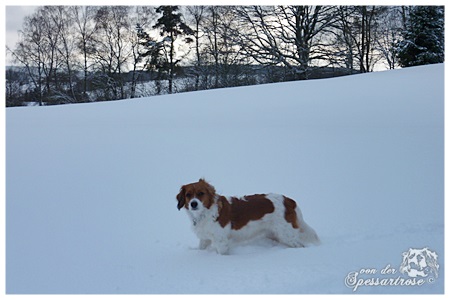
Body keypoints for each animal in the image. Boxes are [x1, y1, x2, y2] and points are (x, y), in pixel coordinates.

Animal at [176, 179, 320, 254]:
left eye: (201, 193)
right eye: (188, 195)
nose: (193, 204)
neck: (205, 212)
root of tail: (288, 200)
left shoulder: (221, 241)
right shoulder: (205, 238)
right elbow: (201, 248)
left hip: (286, 234)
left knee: (300, 245)